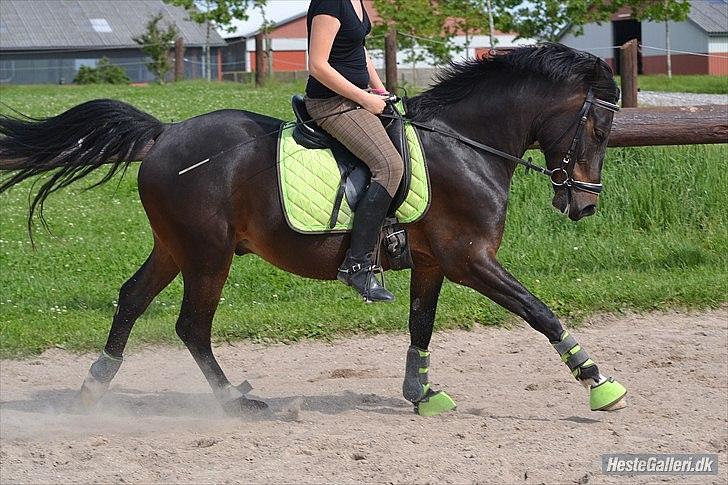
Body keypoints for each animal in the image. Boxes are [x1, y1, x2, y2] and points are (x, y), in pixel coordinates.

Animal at [0, 43, 624, 416]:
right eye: (597, 128)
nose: (585, 206)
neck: (465, 146)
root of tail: (164, 133)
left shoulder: (432, 263)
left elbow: (421, 327)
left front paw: (421, 393)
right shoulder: (470, 259)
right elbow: (539, 311)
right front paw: (599, 382)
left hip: (175, 248)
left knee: (131, 298)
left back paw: (93, 388)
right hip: (208, 254)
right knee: (191, 326)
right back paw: (235, 400)